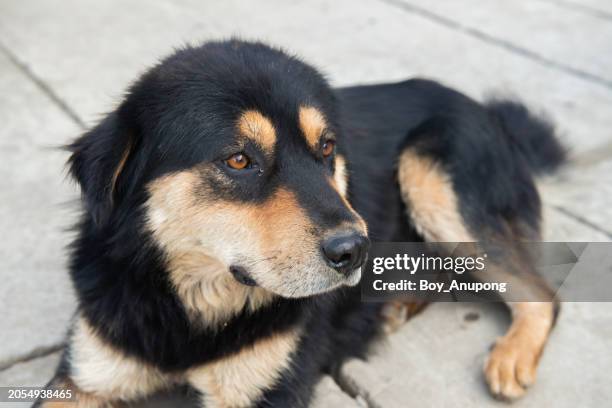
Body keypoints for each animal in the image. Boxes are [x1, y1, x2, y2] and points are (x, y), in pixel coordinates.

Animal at [37, 39, 564, 408]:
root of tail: (494, 118)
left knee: (543, 293)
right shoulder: (83, 376)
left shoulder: (269, 392)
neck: (189, 307)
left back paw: (511, 354)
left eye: (326, 148)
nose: (356, 251)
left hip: (430, 175)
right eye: (238, 159)